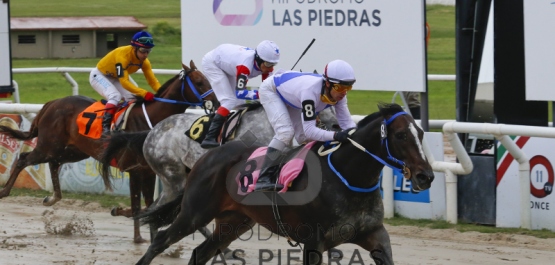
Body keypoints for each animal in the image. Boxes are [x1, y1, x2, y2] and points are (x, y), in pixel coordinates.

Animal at [0, 60, 216, 242]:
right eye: (199, 82)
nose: (215, 102)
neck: (150, 119)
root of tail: (52, 103)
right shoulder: (135, 169)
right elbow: (139, 205)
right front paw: (135, 231)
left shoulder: (148, 171)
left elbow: (148, 205)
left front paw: (140, 231)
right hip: (48, 146)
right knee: (24, 158)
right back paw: (5, 191)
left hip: (72, 151)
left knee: (54, 163)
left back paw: (52, 198)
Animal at [134, 103, 434, 264]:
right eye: (400, 135)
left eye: (420, 133)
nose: (426, 176)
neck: (348, 178)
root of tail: (208, 156)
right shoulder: (314, 240)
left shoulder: (374, 234)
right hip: (195, 211)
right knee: (161, 239)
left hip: (234, 221)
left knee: (202, 252)